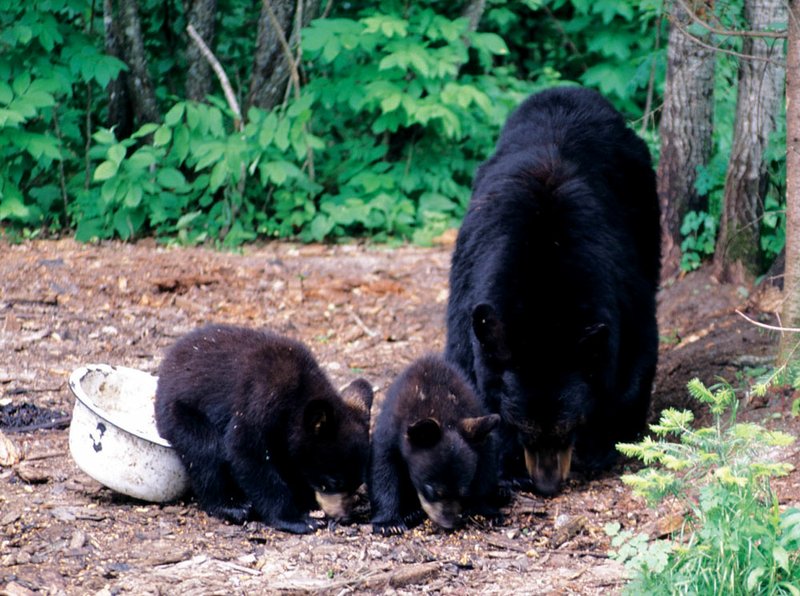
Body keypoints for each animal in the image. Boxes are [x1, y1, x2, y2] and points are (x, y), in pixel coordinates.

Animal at [154, 324, 374, 534]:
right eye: (333, 481)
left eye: (356, 483)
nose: (343, 517)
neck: (298, 392)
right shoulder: (260, 398)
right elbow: (246, 452)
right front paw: (298, 520)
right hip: (180, 412)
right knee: (206, 450)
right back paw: (232, 506)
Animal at [369, 355, 501, 535]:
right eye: (431, 489)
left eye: (464, 491)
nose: (449, 524)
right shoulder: (391, 430)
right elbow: (383, 469)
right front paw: (388, 523)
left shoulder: (478, 427)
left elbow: (486, 468)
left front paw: (486, 513)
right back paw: (411, 512)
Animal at [445, 86, 660, 496]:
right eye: (523, 426)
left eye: (567, 426)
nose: (546, 485)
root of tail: (566, 90)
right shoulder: (471, 290)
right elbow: (469, 375)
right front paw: (507, 465)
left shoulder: (622, 290)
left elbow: (632, 362)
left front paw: (604, 443)